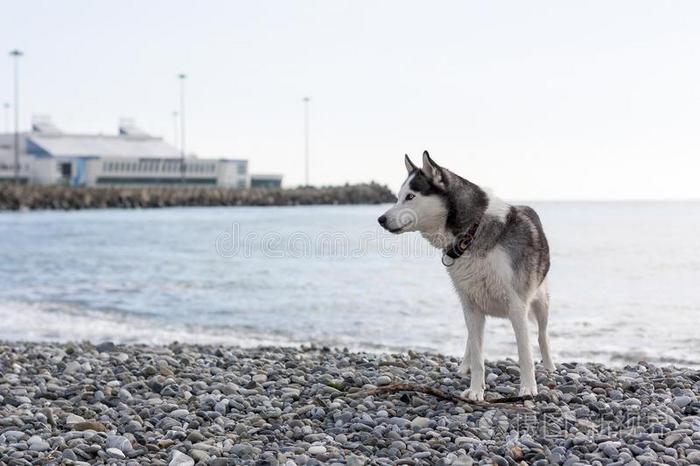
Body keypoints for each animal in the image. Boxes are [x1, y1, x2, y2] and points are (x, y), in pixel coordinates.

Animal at [378, 153, 552, 400]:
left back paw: (550, 367)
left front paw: (528, 388)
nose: (381, 219)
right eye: (398, 197)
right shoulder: (471, 305)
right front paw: (476, 390)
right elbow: (478, 355)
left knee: (542, 336)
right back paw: (464, 366)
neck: (472, 232)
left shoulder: (517, 305)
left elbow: (525, 352)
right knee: (472, 339)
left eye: (410, 196)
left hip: (541, 302)